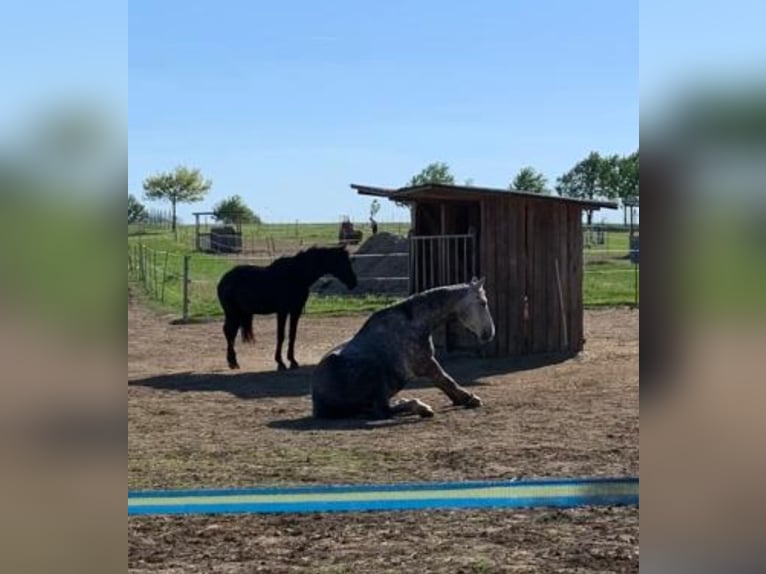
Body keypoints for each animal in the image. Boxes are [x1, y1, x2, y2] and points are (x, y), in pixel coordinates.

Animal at [218, 245, 358, 372]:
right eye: (343, 262)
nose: (354, 282)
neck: (296, 275)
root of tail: (224, 279)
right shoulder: (282, 311)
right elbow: (281, 336)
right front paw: (280, 363)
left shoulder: (295, 310)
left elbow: (292, 334)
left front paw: (292, 361)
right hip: (232, 313)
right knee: (229, 332)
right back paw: (233, 362)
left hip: (238, 313)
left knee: (231, 332)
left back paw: (233, 361)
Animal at [312, 280, 498, 418]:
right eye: (483, 303)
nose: (489, 333)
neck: (414, 323)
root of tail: (318, 404)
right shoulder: (426, 364)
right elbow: (446, 380)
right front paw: (470, 398)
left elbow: (445, 384)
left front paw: (463, 399)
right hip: (375, 371)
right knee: (383, 410)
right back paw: (420, 407)